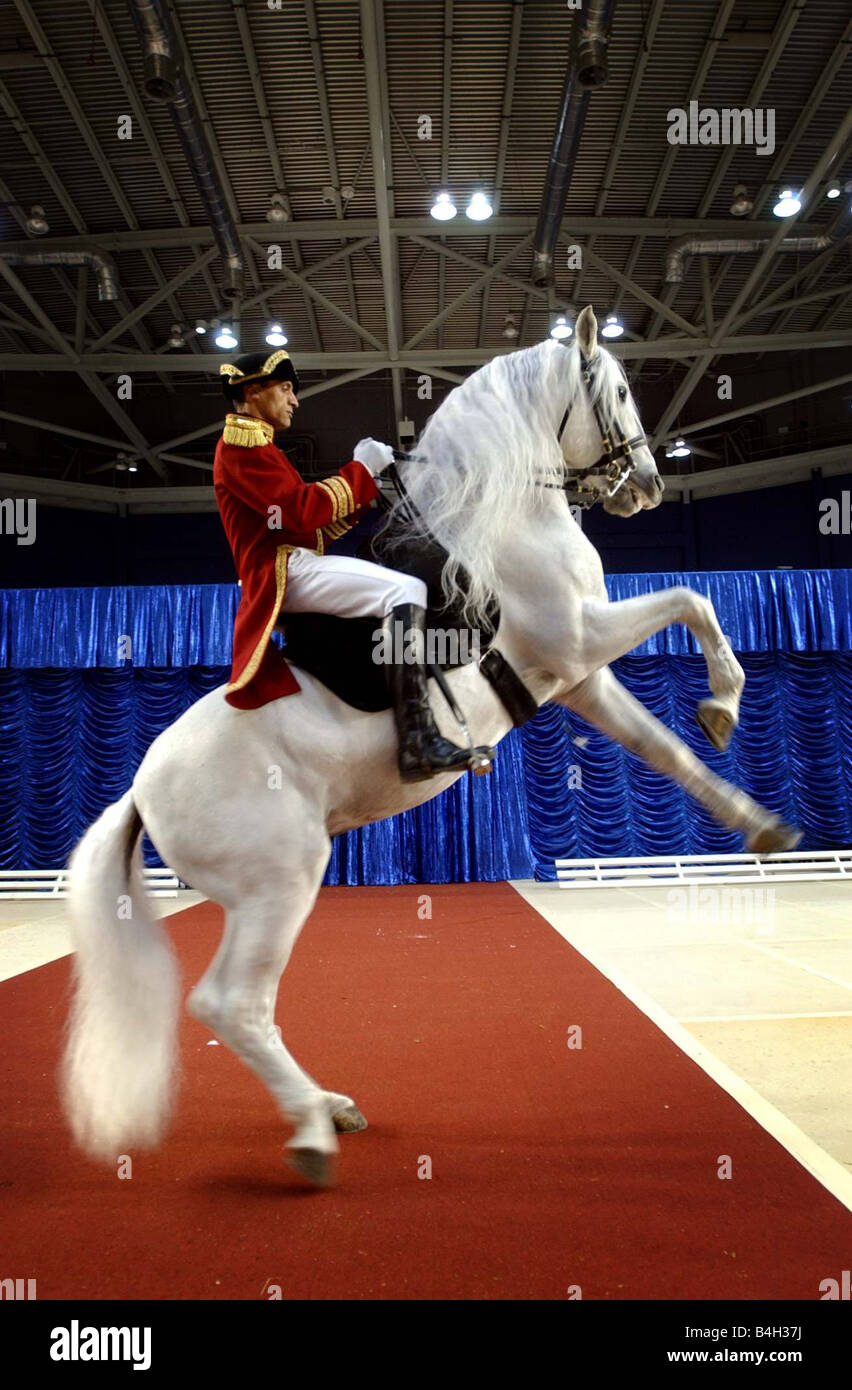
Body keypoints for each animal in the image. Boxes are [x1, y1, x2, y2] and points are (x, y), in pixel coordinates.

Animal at [61, 306, 800, 1187]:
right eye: (619, 392)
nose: (648, 485)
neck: (507, 516)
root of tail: (141, 789)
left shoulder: (581, 676)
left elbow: (669, 751)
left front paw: (756, 815)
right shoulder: (582, 634)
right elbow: (695, 597)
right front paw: (723, 698)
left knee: (251, 1007)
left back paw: (329, 1107)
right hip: (280, 879)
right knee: (231, 1002)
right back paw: (312, 1132)